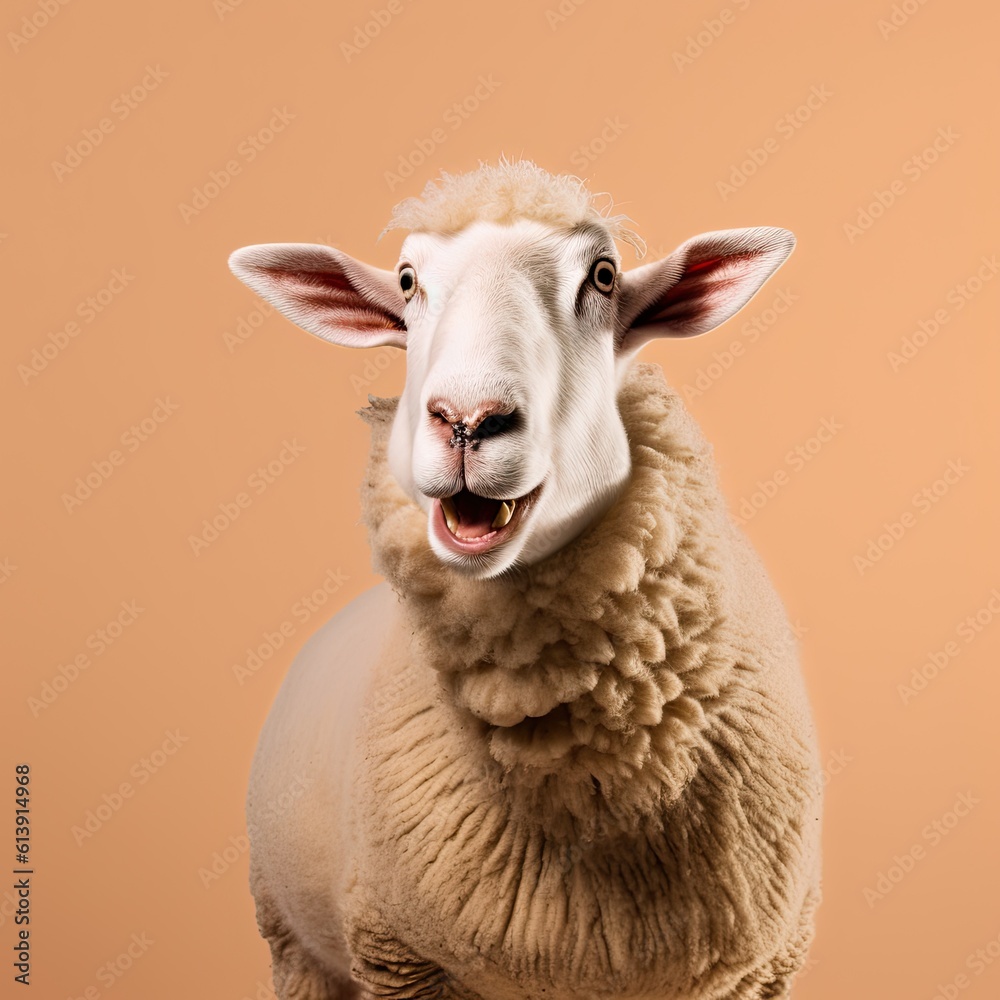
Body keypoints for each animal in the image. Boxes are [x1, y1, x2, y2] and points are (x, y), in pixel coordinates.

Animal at [229, 159, 822, 1000]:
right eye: (407, 281)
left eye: (602, 276)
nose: (467, 419)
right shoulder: (399, 958)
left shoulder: (758, 972)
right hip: (296, 946)